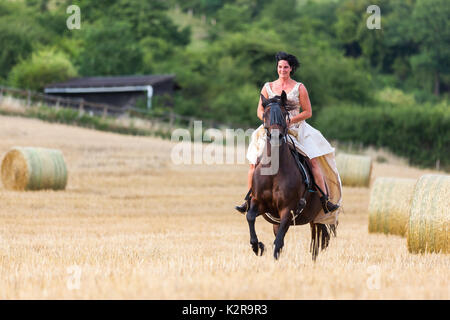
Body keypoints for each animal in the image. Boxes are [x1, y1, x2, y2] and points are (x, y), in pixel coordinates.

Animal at [246, 90, 334, 260]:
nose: (275, 137)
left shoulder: (287, 210)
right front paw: (257, 246)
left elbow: (278, 242)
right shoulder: (259, 203)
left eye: (283, 113)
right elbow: (250, 217)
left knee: (316, 240)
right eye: (265, 114)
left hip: (317, 217)